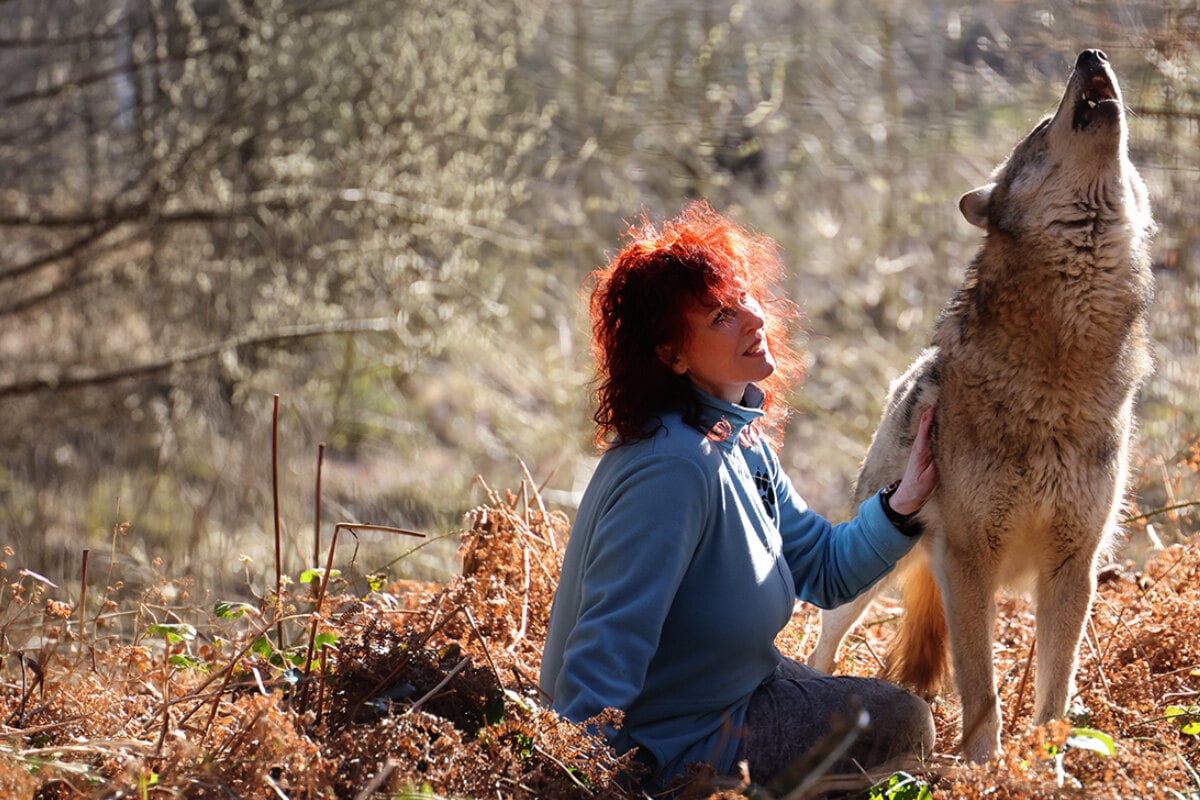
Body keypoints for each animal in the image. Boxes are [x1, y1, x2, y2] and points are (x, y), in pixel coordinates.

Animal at [807, 49, 1156, 763]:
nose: (1092, 54)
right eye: (1041, 126)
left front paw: (1049, 768)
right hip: (871, 576)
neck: (1058, 369)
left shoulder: (1073, 568)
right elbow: (981, 689)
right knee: (823, 637)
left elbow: (1053, 696)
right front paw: (982, 767)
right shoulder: (970, 561)